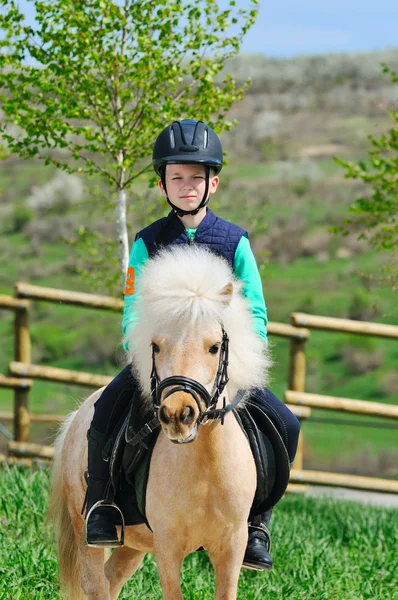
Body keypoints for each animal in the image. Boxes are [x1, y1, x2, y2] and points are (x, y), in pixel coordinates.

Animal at [46, 246, 270, 596]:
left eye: (214, 347)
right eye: (155, 346)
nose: (178, 415)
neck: (205, 466)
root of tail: (76, 417)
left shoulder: (232, 547)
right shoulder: (168, 546)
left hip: (132, 544)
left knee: (111, 579)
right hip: (87, 530)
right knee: (95, 584)